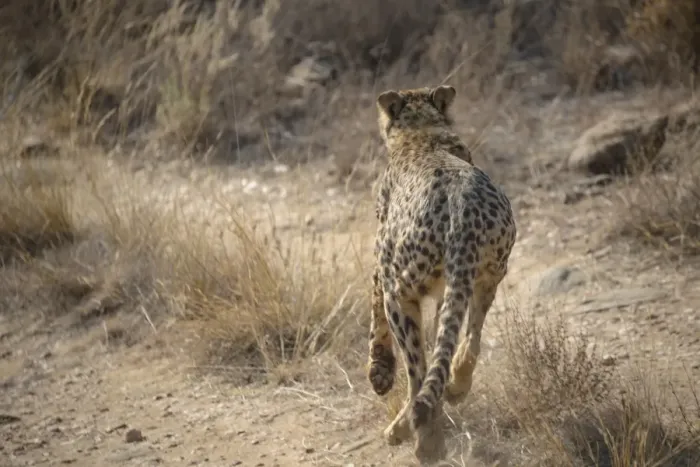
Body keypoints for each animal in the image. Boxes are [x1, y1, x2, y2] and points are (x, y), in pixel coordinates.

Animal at [366, 85, 517, 464]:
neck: (423, 132)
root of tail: (463, 211)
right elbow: (443, 340)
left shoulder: (381, 262)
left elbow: (374, 309)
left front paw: (379, 372)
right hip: (486, 276)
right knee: (468, 339)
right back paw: (456, 388)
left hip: (401, 290)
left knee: (419, 373)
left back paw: (422, 441)